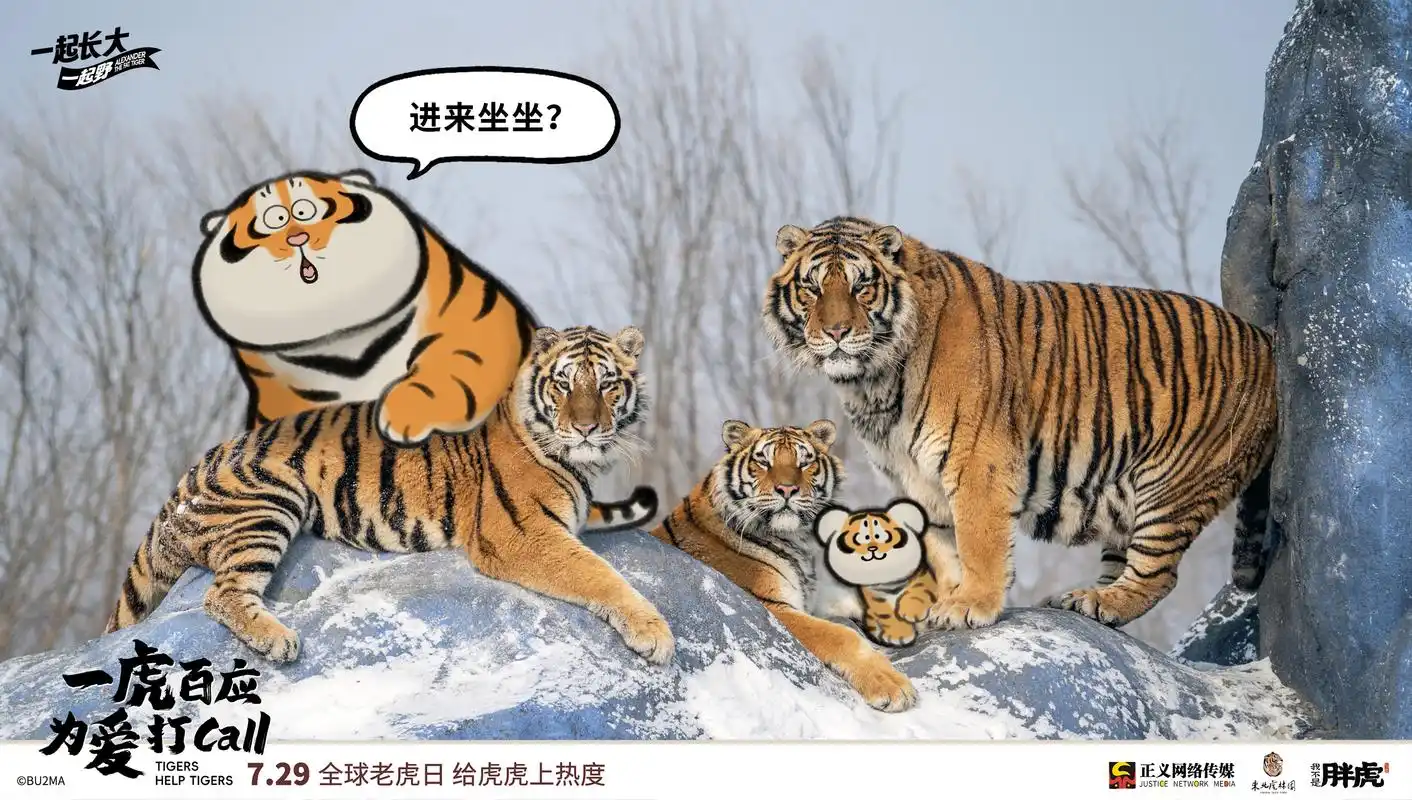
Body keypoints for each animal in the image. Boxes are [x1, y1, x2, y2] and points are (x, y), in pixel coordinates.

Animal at [103, 325, 675, 666]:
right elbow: (600, 574)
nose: (586, 428)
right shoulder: (523, 532)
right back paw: (279, 640)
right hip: (271, 499)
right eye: (563, 383)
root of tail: (185, 476)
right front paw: (655, 633)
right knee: (220, 594)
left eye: (607, 385)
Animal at [193, 168, 651, 532]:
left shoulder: (476, 328)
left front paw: (403, 415)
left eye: (306, 211)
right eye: (271, 221)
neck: (340, 339)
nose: (298, 237)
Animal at [642, 418, 947, 712]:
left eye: (804, 462)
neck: (796, 540)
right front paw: (892, 686)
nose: (787, 489)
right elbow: (842, 634)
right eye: (764, 461)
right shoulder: (774, 606)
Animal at [762, 215, 1278, 631]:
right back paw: (1083, 598)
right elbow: (943, 546)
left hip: (1171, 484)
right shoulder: (913, 475)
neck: (873, 381)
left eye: (860, 287)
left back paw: (1102, 603)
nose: (836, 333)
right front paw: (943, 601)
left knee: (1159, 573)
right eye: (812, 288)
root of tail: (1265, 339)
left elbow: (979, 539)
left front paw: (969, 605)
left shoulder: (978, 460)